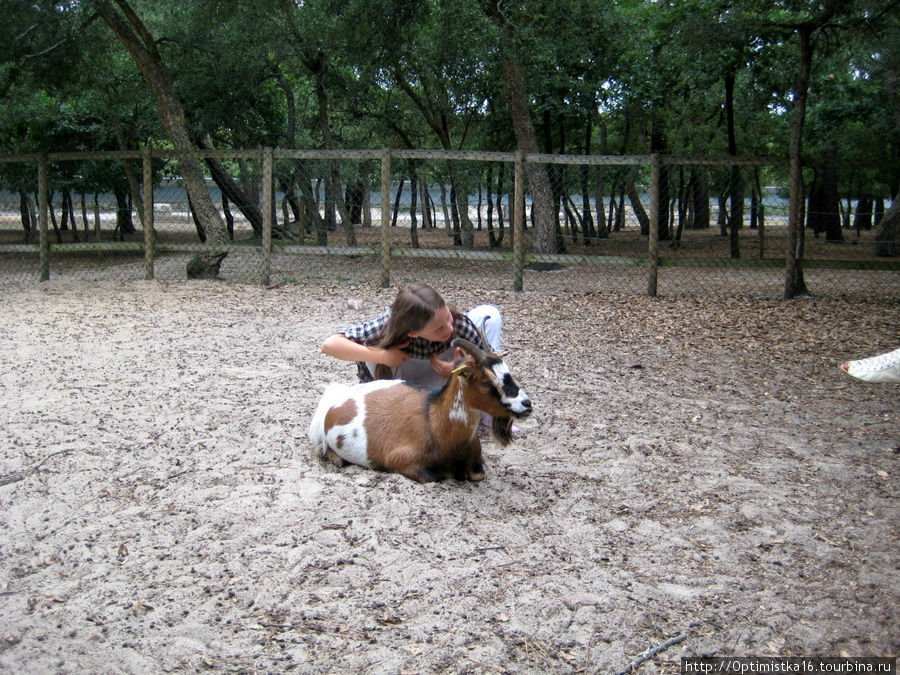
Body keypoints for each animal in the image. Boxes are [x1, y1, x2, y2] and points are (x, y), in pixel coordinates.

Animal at [310, 340, 536, 484]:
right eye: (486, 381)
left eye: (508, 374)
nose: (526, 404)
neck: (435, 422)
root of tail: (334, 397)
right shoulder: (402, 461)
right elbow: (435, 477)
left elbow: (478, 474)